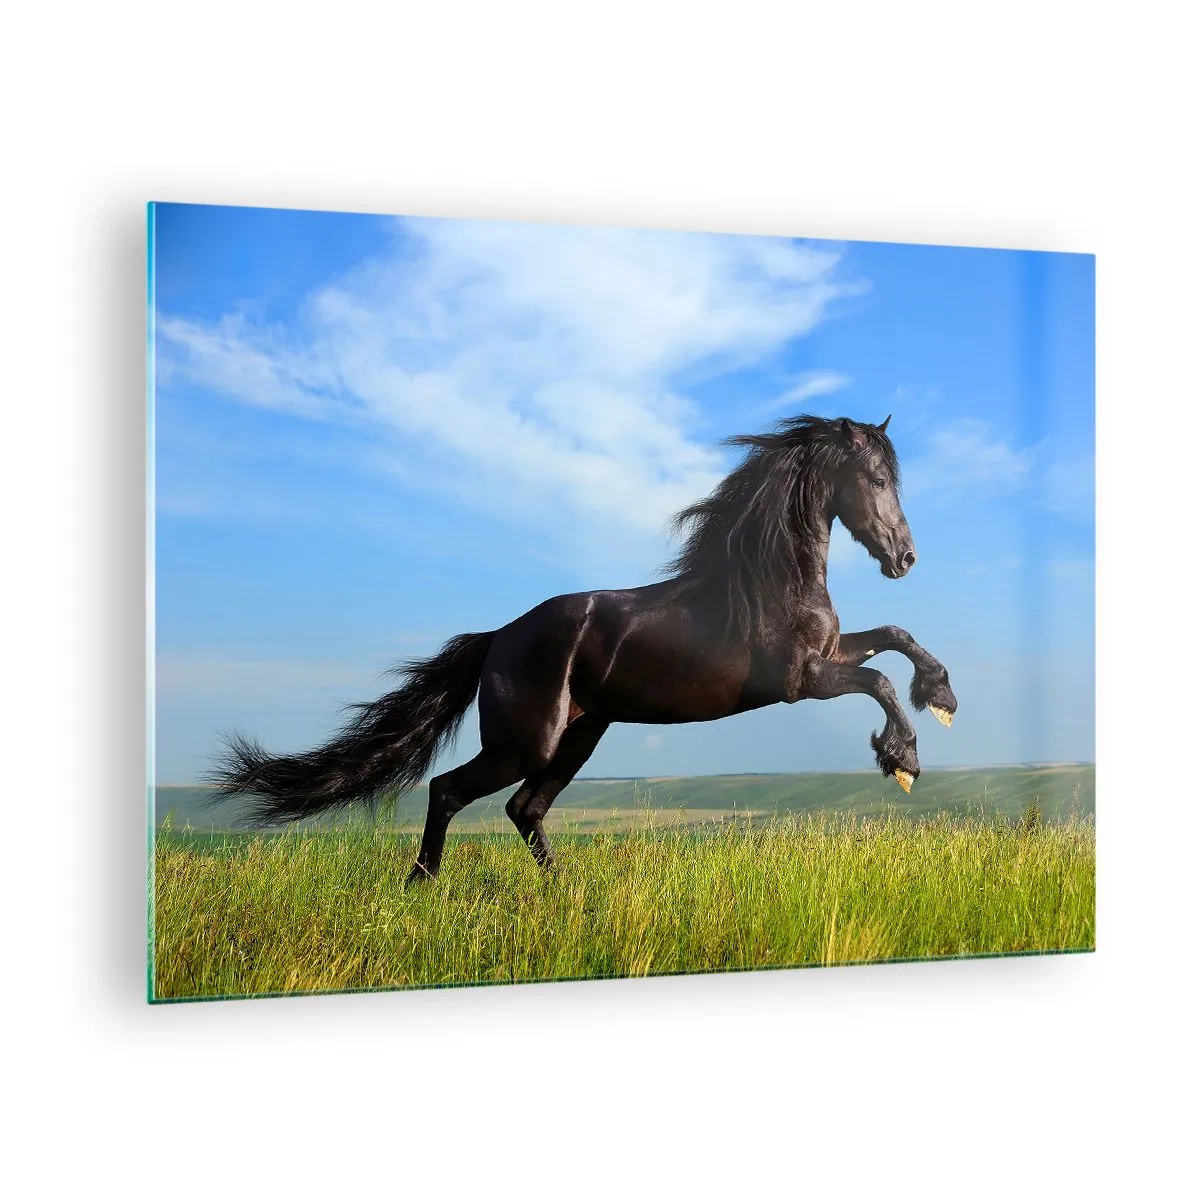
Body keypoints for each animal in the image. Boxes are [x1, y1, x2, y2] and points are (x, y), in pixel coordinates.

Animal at [210, 413, 958, 883]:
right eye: (878, 481)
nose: (906, 558)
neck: (771, 578)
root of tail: (497, 639)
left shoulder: (833, 652)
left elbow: (894, 639)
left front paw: (941, 695)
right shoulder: (800, 679)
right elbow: (879, 682)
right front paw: (903, 759)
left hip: (579, 736)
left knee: (525, 810)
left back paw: (564, 892)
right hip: (526, 743)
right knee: (451, 791)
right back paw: (420, 885)